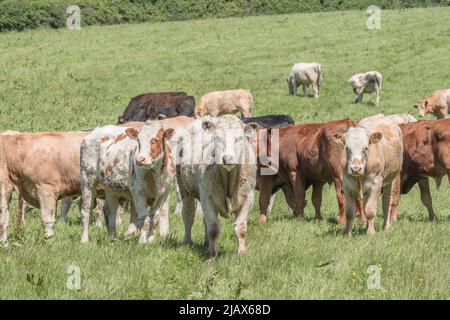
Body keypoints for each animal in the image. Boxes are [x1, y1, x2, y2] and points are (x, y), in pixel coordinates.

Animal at [178, 115, 258, 258]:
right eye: (218, 138)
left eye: (239, 138)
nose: (228, 158)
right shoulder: (207, 198)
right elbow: (213, 229)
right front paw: (212, 255)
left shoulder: (248, 198)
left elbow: (241, 228)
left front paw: (242, 252)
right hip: (185, 189)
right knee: (188, 215)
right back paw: (187, 241)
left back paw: (206, 242)